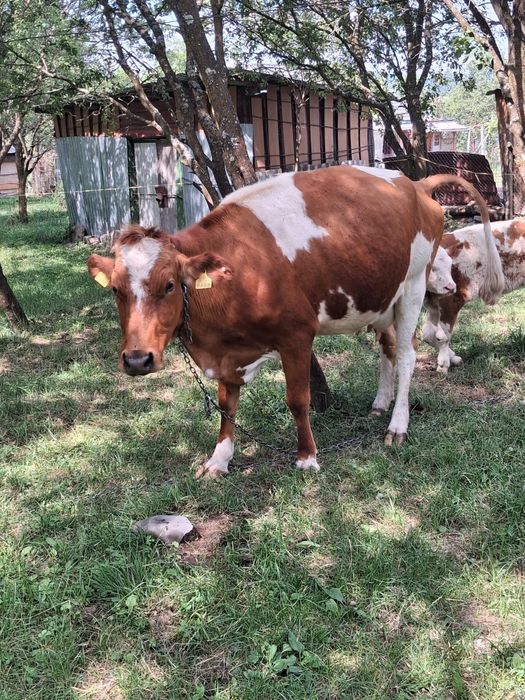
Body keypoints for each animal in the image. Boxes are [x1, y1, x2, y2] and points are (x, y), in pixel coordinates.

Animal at [87, 165, 503, 478]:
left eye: (170, 284)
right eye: (116, 290)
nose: (137, 360)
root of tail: (413, 183)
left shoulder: (296, 336)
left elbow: (297, 400)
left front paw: (307, 457)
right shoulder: (225, 351)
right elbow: (227, 404)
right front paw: (219, 460)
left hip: (415, 285)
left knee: (405, 355)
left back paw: (397, 425)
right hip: (382, 296)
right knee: (386, 349)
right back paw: (380, 403)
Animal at [423, 218, 525, 372]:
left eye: (449, 265)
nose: (450, 286)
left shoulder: (451, 300)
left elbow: (442, 335)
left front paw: (443, 364)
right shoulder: (433, 303)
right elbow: (428, 335)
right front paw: (452, 358)